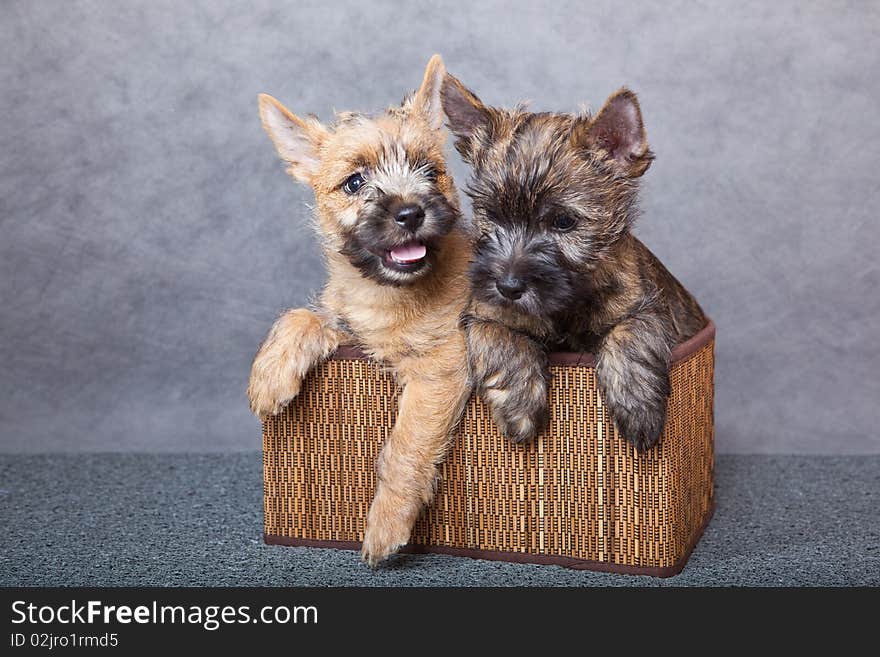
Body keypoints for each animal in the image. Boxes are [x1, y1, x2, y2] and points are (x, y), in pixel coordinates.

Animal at [248, 56, 474, 568]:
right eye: (354, 183)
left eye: (430, 171)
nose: (410, 212)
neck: (388, 295)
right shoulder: (352, 329)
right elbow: (304, 316)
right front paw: (269, 375)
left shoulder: (440, 367)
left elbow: (406, 446)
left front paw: (386, 524)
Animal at [440, 73, 708, 452]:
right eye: (491, 215)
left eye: (564, 222)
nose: (508, 286)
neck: (567, 305)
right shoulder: (483, 311)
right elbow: (498, 338)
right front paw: (519, 406)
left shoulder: (647, 306)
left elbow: (631, 334)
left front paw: (638, 409)